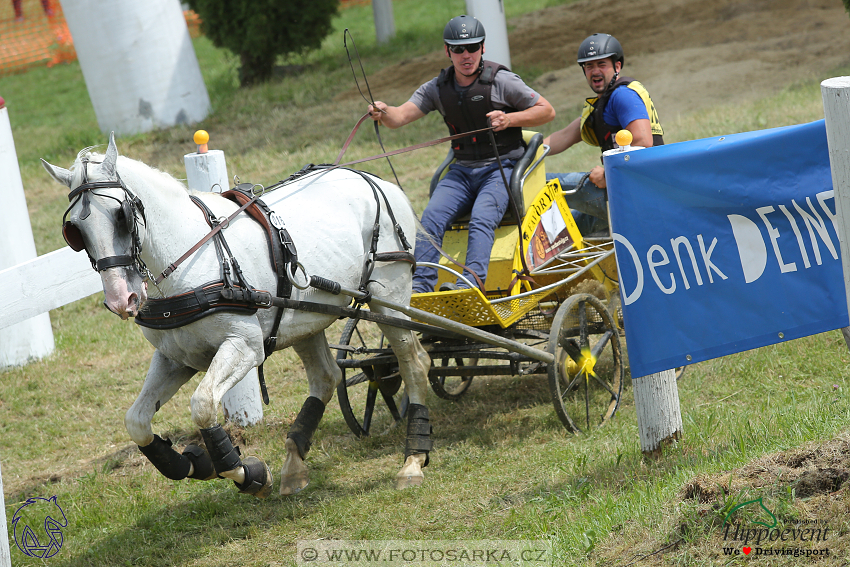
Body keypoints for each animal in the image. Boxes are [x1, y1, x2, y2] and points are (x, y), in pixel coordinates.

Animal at [41, 135, 430, 500]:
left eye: (121, 216)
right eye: (74, 231)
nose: (122, 298)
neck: (192, 258)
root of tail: (371, 178)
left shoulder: (244, 346)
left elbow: (202, 405)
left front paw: (246, 473)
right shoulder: (174, 358)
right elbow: (136, 421)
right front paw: (193, 464)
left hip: (388, 299)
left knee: (413, 363)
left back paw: (413, 459)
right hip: (306, 318)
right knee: (327, 377)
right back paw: (294, 464)